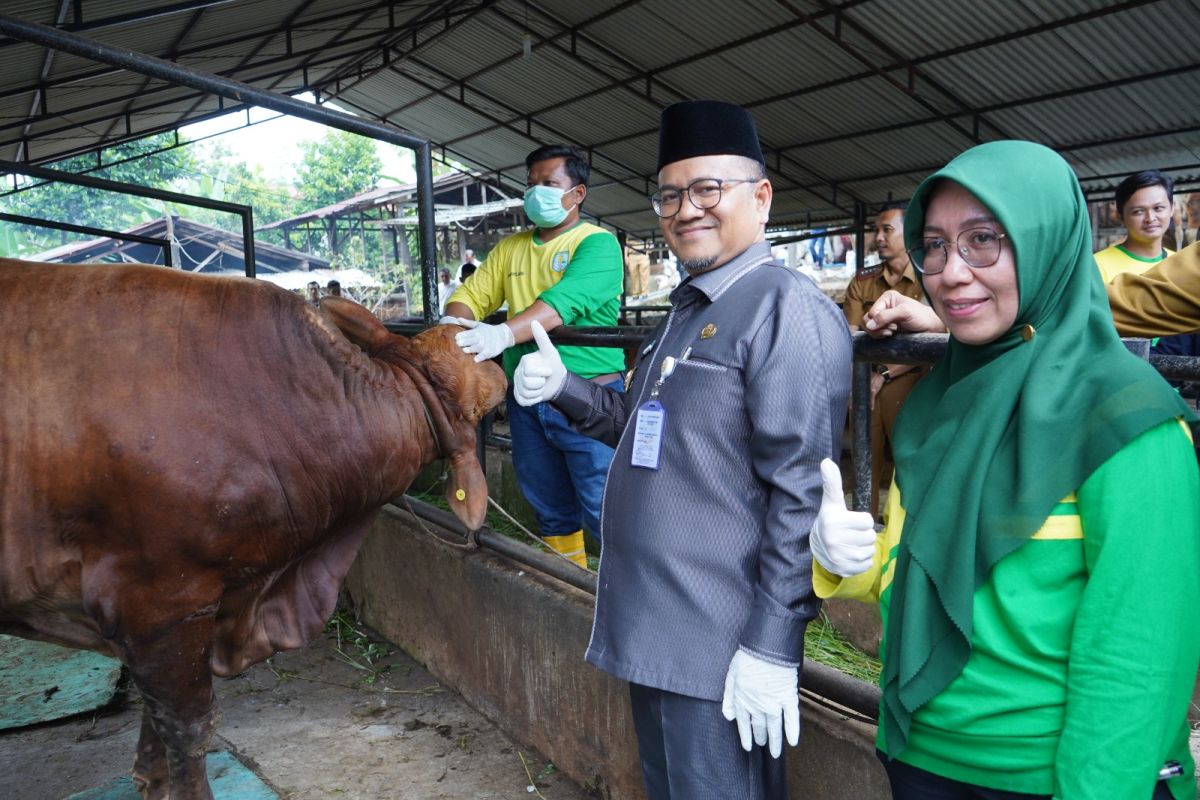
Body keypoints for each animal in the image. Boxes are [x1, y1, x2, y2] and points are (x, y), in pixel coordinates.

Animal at [0, 260, 506, 796]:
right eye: (475, 394)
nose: (499, 363)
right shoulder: (159, 601)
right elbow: (187, 726)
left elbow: (156, 718)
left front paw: (151, 781)